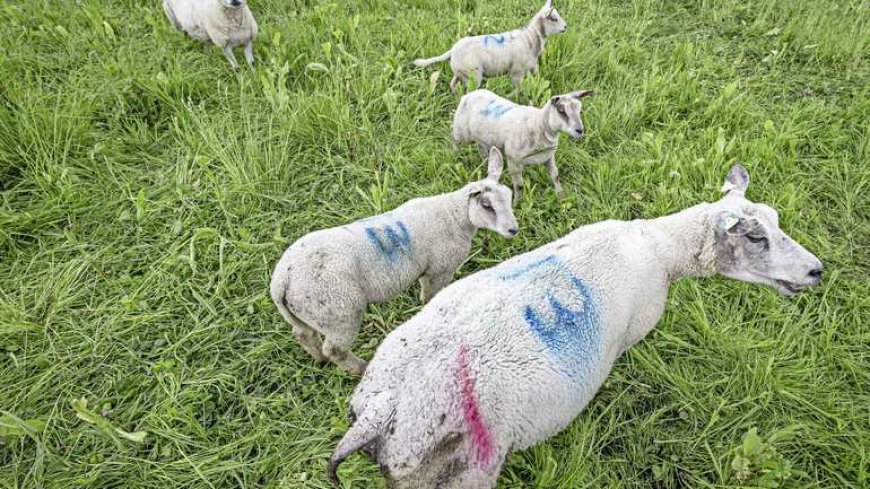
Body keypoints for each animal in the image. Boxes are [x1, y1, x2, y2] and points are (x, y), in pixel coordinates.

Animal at [270, 149, 520, 374]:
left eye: (509, 196)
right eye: (487, 205)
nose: (513, 230)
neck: (454, 215)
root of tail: (282, 280)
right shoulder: (439, 270)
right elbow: (431, 297)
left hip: (307, 315)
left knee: (304, 334)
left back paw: (319, 359)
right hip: (339, 311)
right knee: (335, 349)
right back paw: (361, 368)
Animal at [418, 0, 572, 92]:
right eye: (554, 19)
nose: (566, 26)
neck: (530, 37)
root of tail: (452, 50)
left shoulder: (532, 66)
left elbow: (536, 78)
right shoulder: (517, 71)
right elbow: (518, 89)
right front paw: (514, 98)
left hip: (460, 72)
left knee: (453, 84)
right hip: (473, 75)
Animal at [456, 86, 592, 203]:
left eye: (580, 111)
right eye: (561, 110)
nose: (580, 130)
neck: (538, 125)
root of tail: (471, 93)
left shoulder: (548, 156)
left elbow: (555, 176)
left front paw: (561, 197)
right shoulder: (513, 160)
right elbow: (519, 185)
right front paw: (517, 203)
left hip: (483, 139)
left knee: (482, 150)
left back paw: (485, 164)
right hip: (460, 133)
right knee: (456, 145)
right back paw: (456, 160)